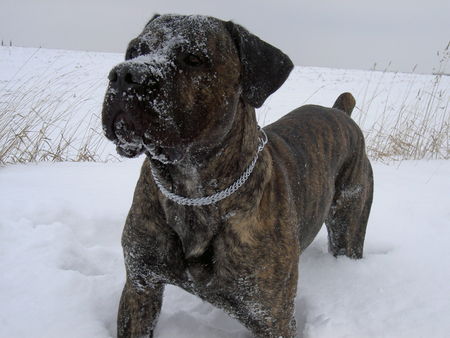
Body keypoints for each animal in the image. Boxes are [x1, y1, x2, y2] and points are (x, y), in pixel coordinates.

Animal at [102, 13, 372, 338]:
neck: (192, 192)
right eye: (134, 51)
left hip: (348, 228)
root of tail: (341, 112)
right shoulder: (141, 287)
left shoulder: (272, 318)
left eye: (194, 58)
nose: (125, 74)